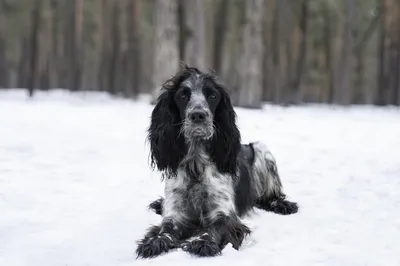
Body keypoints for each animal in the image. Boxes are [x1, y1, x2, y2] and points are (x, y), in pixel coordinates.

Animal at [136, 65, 298, 258]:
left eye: (213, 96)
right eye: (182, 95)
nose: (198, 115)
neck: (196, 165)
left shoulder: (224, 212)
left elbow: (217, 226)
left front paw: (204, 243)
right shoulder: (176, 211)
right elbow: (167, 227)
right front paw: (155, 242)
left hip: (261, 149)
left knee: (269, 196)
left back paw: (283, 204)